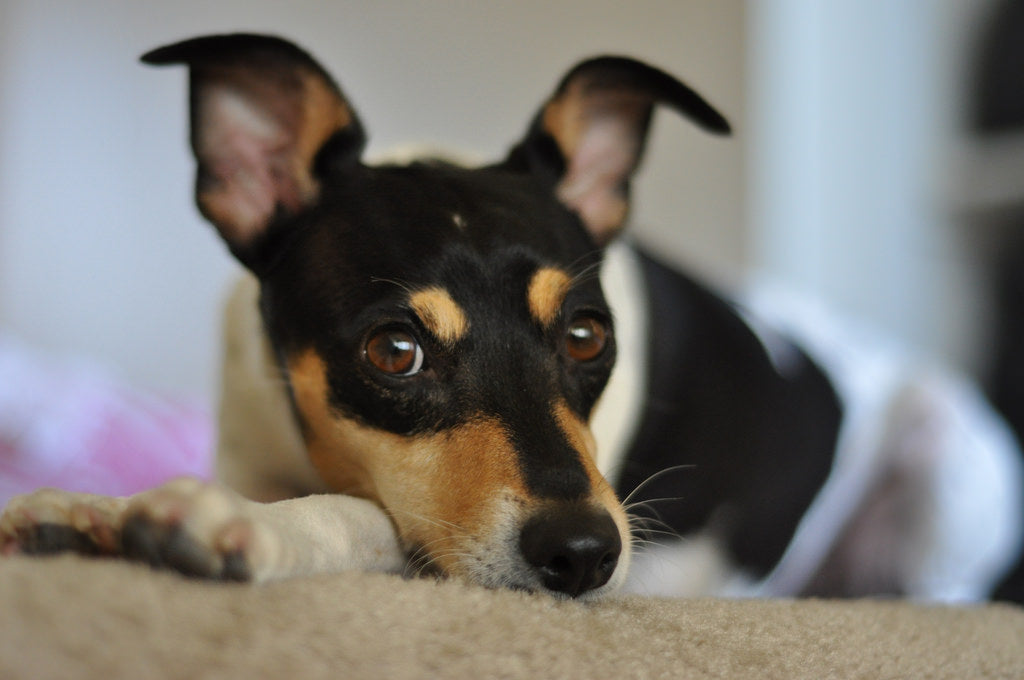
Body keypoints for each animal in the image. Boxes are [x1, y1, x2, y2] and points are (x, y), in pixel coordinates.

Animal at [2, 33, 1024, 602]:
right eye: (395, 350)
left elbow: (363, 519)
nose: (584, 555)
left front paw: (223, 526)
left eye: (585, 335)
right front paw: (88, 511)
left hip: (949, 475)